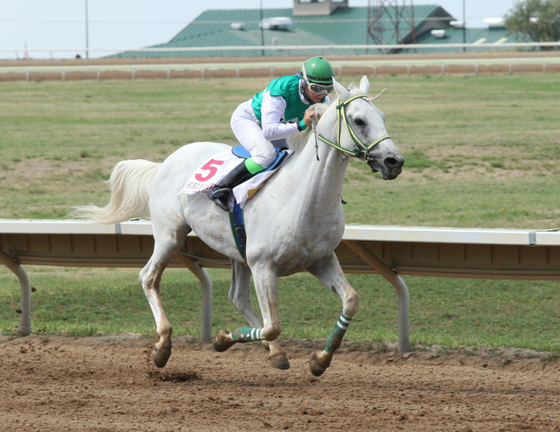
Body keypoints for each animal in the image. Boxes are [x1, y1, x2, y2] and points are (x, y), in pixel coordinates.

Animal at [76, 77, 404, 374]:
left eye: (382, 117)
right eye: (359, 120)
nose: (394, 161)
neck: (302, 198)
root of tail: (164, 163)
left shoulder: (320, 259)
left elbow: (350, 301)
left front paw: (320, 360)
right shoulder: (264, 265)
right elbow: (272, 326)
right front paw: (222, 339)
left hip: (237, 251)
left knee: (237, 296)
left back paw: (275, 353)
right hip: (170, 234)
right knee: (149, 277)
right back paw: (162, 347)